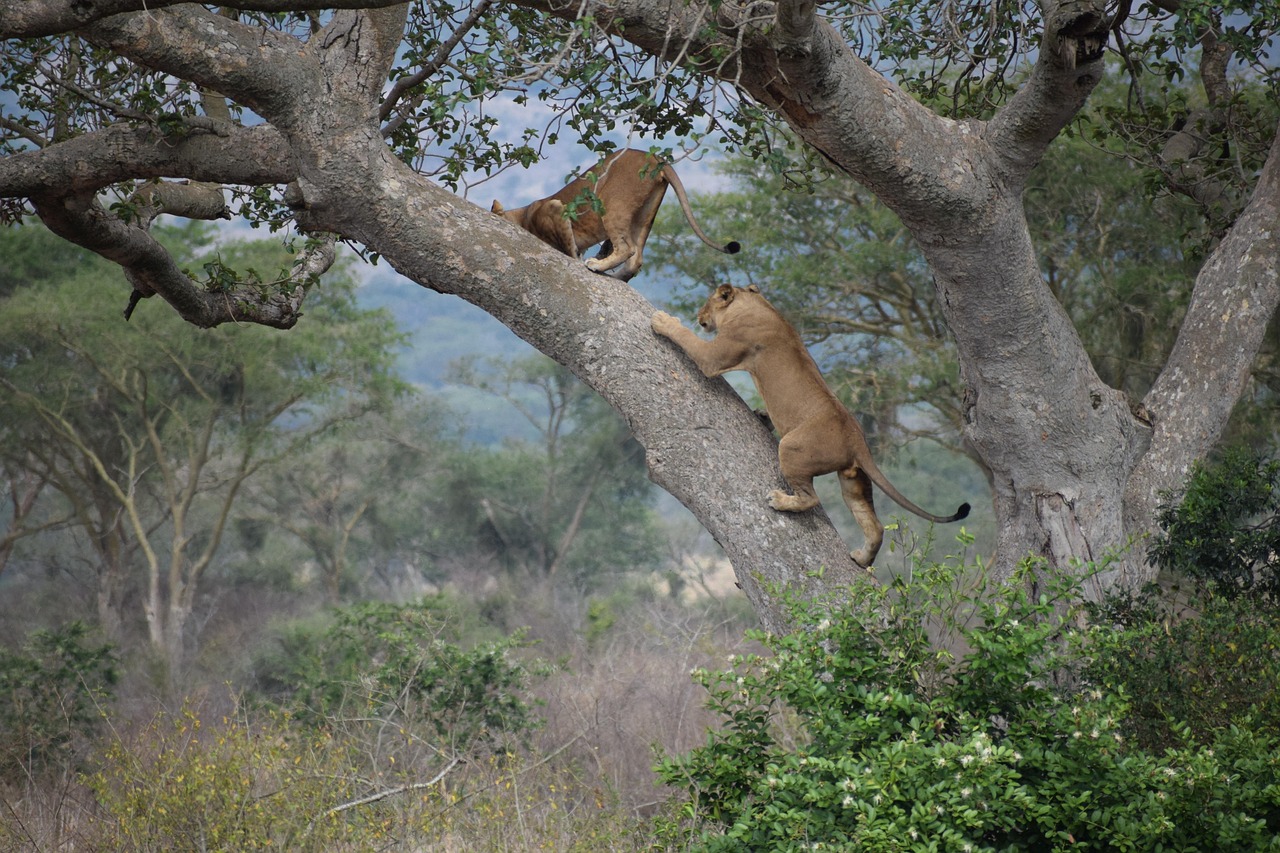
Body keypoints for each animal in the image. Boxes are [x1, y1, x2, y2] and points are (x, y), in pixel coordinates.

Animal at [491, 149, 740, 282]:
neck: (523, 214)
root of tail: (653, 157)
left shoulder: (555, 208)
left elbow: (568, 247)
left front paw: (578, 258)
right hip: (644, 214)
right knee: (636, 258)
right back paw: (618, 276)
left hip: (613, 204)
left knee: (627, 248)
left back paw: (597, 266)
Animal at [652, 284, 970, 567]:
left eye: (707, 303)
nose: (699, 315)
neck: (755, 304)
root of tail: (857, 440)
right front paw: (762, 415)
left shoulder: (716, 357)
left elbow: (687, 338)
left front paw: (663, 320)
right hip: (853, 481)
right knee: (875, 525)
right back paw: (861, 558)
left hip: (792, 448)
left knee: (811, 499)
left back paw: (780, 500)